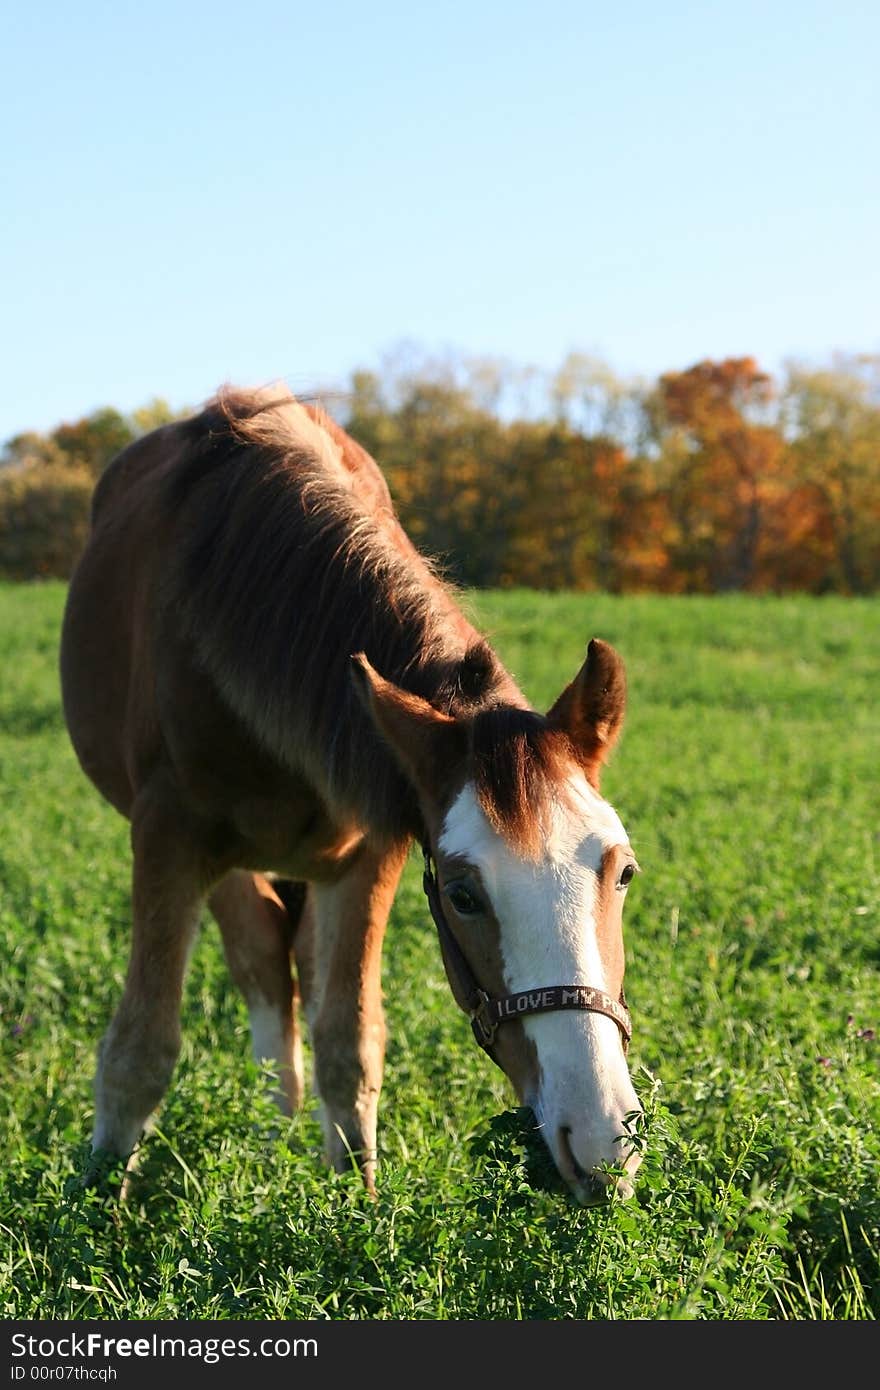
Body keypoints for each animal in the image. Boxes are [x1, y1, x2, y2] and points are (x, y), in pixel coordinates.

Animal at [58, 383, 642, 1206]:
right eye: (463, 895)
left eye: (622, 873)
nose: (601, 1139)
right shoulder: (169, 834)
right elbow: (140, 1050)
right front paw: (93, 1210)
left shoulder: (368, 855)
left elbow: (350, 1042)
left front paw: (354, 1206)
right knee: (262, 965)